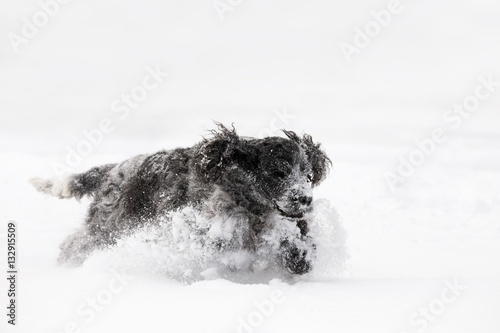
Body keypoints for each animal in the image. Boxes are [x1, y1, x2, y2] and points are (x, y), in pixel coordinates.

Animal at [29, 123, 330, 274]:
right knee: (75, 243)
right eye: (277, 172)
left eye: (307, 174)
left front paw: (299, 258)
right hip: (109, 225)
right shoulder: (204, 224)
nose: (304, 199)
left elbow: (293, 238)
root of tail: (114, 169)